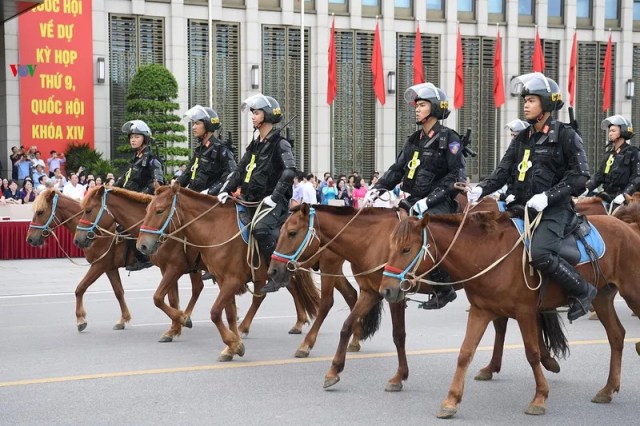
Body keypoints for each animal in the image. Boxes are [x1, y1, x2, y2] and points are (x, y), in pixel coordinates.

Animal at [26, 188, 132, 332]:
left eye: (40, 212)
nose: (30, 238)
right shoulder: (109, 267)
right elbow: (118, 292)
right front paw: (123, 319)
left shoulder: (99, 265)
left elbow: (80, 288)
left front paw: (80, 319)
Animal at [134, 181, 320, 362]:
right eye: (147, 209)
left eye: (159, 211)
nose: (142, 245)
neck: (216, 229)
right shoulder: (221, 279)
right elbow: (228, 314)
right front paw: (231, 346)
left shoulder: (227, 279)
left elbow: (214, 312)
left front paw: (230, 342)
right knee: (266, 295)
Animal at [264, 201, 560, 392]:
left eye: (291, 232)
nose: (273, 270)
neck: (373, 241)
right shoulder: (372, 292)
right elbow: (347, 326)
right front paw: (334, 370)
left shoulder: (394, 295)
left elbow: (399, 335)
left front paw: (399, 376)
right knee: (503, 323)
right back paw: (500, 366)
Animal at [380, 211, 640, 418]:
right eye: (390, 248)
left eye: (406, 249)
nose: (386, 290)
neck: (488, 254)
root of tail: (629, 228)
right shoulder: (481, 311)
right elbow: (465, 353)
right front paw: (451, 400)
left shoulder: (525, 312)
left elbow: (532, 353)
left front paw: (539, 397)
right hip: (602, 297)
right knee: (616, 335)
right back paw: (608, 389)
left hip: (632, 294)